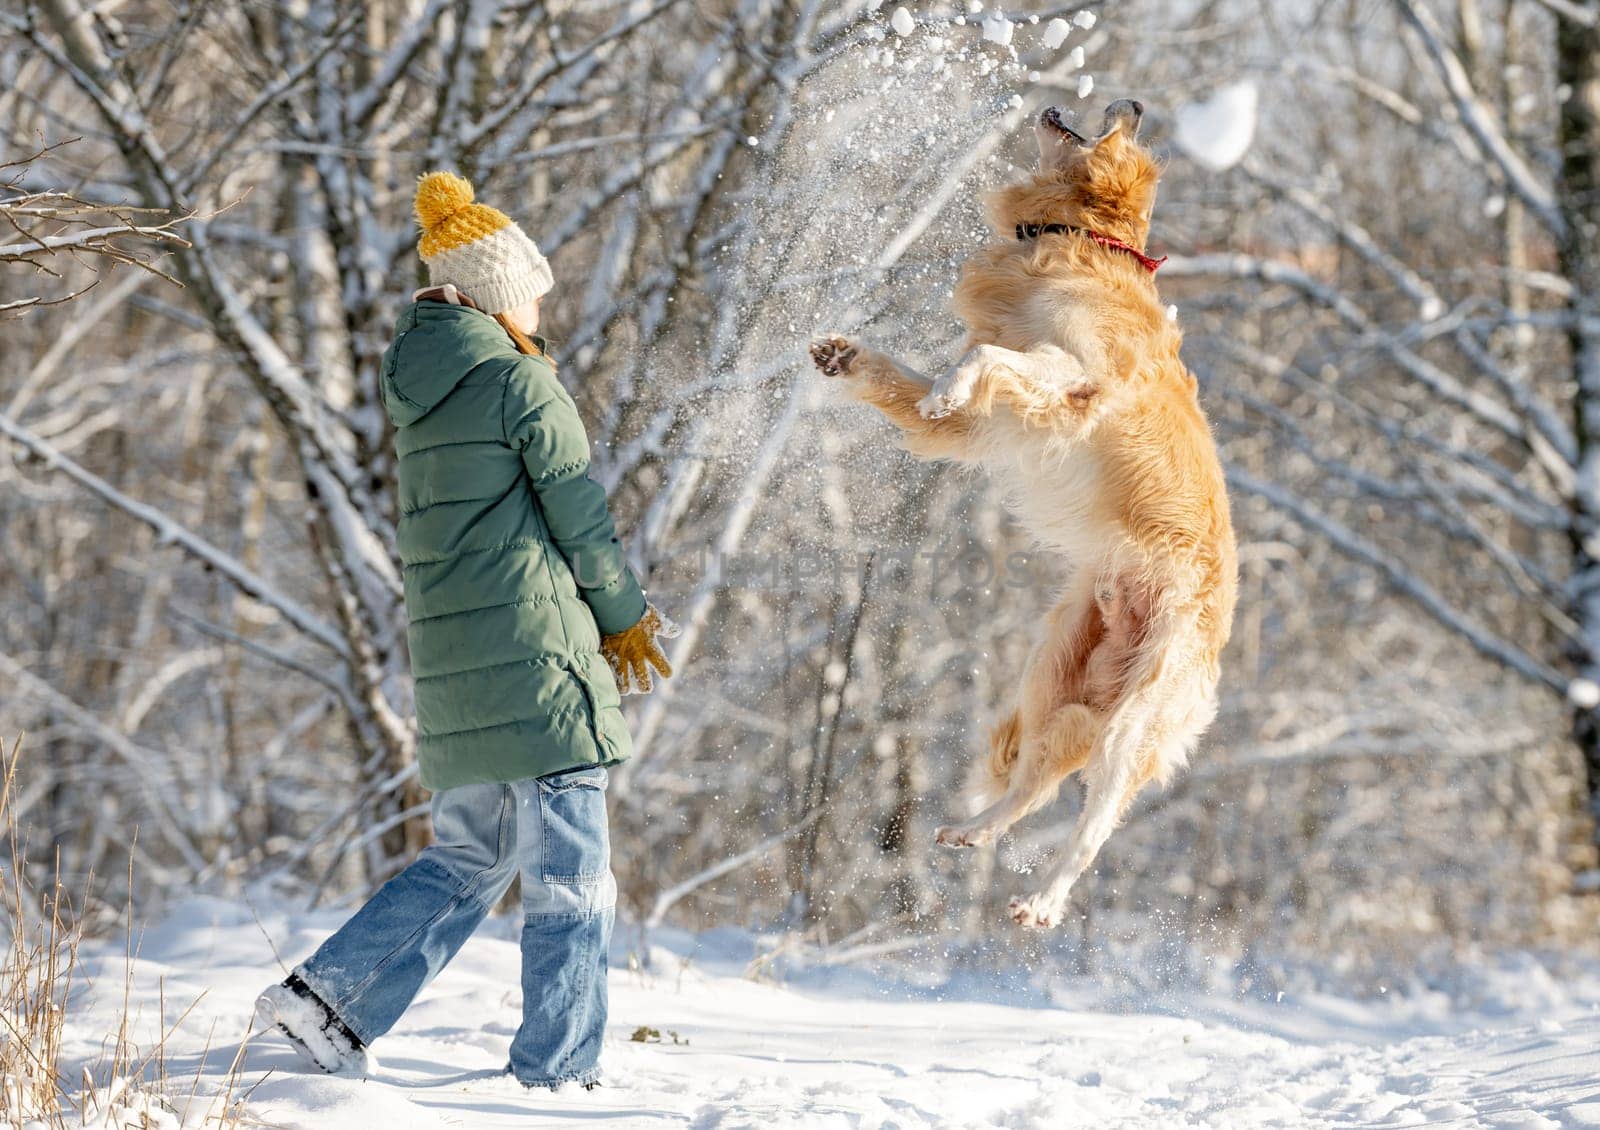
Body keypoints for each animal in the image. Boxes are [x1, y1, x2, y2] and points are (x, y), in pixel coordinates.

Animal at [812, 99, 1235, 921]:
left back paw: (1042, 903)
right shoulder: (985, 426)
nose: (1137, 103)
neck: (1082, 241)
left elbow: (982, 361)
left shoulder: (1074, 380)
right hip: (1056, 674)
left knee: (1092, 827)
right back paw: (973, 831)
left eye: (1124, 129)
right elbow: (928, 378)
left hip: (1136, 720)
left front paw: (943, 386)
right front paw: (851, 360)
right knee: (1033, 781)